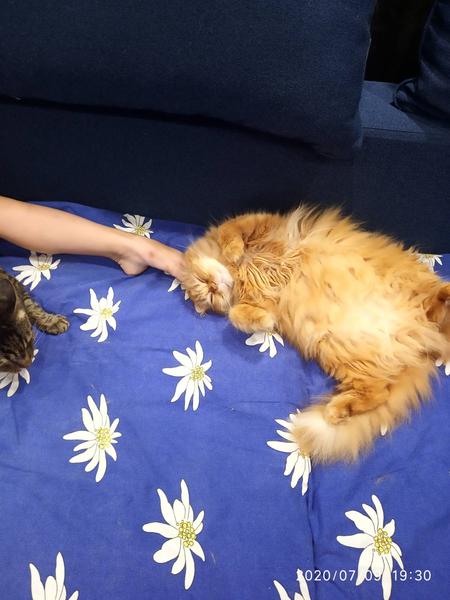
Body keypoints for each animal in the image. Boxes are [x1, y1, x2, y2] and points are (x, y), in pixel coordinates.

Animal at [182, 206, 450, 463]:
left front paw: (233, 251)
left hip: (411, 285)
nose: (214, 288)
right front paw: (263, 322)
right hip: (343, 355)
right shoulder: (264, 303)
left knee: (435, 305)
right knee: (378, 392)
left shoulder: (265, 224)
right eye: (210, 297)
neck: (240, 274)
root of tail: (420, 341)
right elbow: (239, 314)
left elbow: (232, 229)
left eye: (204, 283)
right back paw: (337, 411)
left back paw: (446, 293)